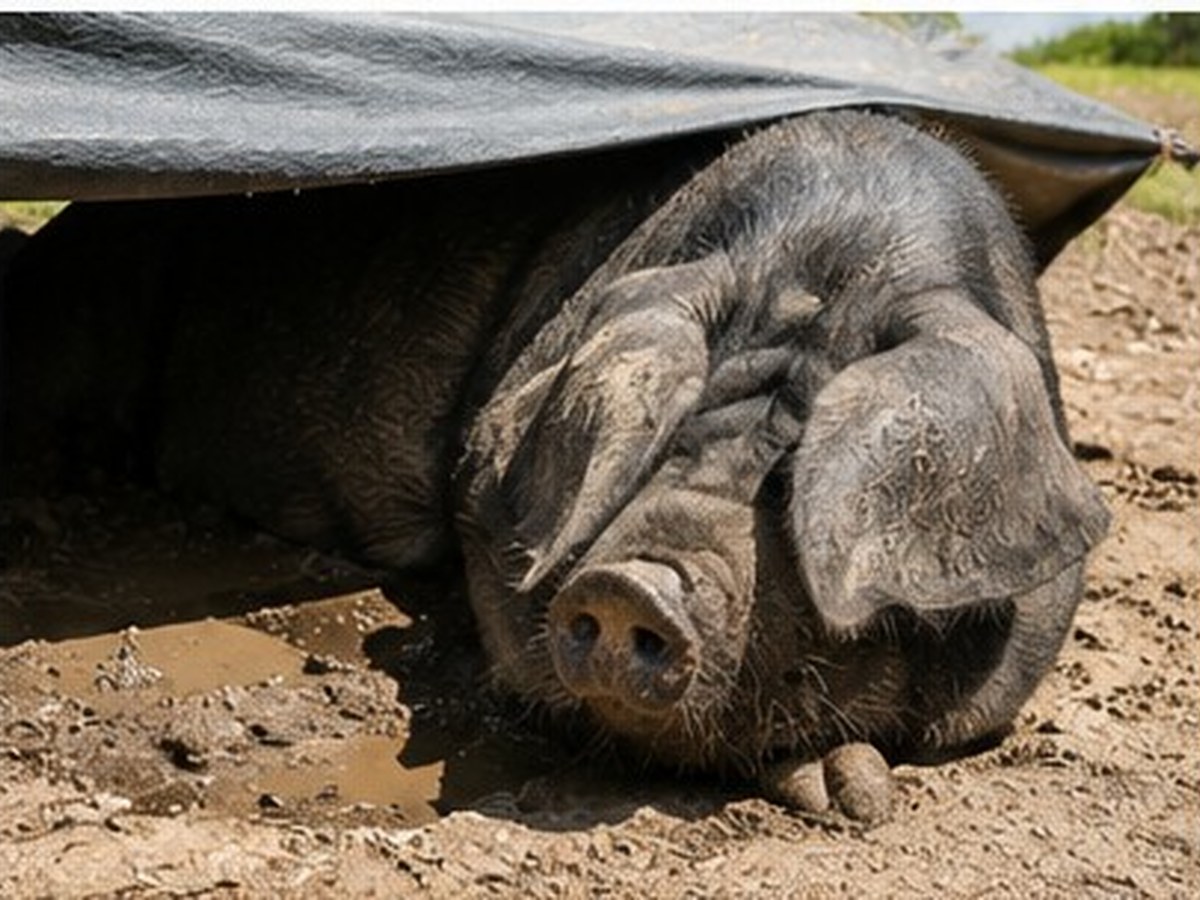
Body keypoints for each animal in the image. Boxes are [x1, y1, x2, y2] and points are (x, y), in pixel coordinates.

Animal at [1, 111, 1109, 819]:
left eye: (789, 482)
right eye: (663, 441)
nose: (629, 585)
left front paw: (847, 798)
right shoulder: (491, 482)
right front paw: (834, 792)